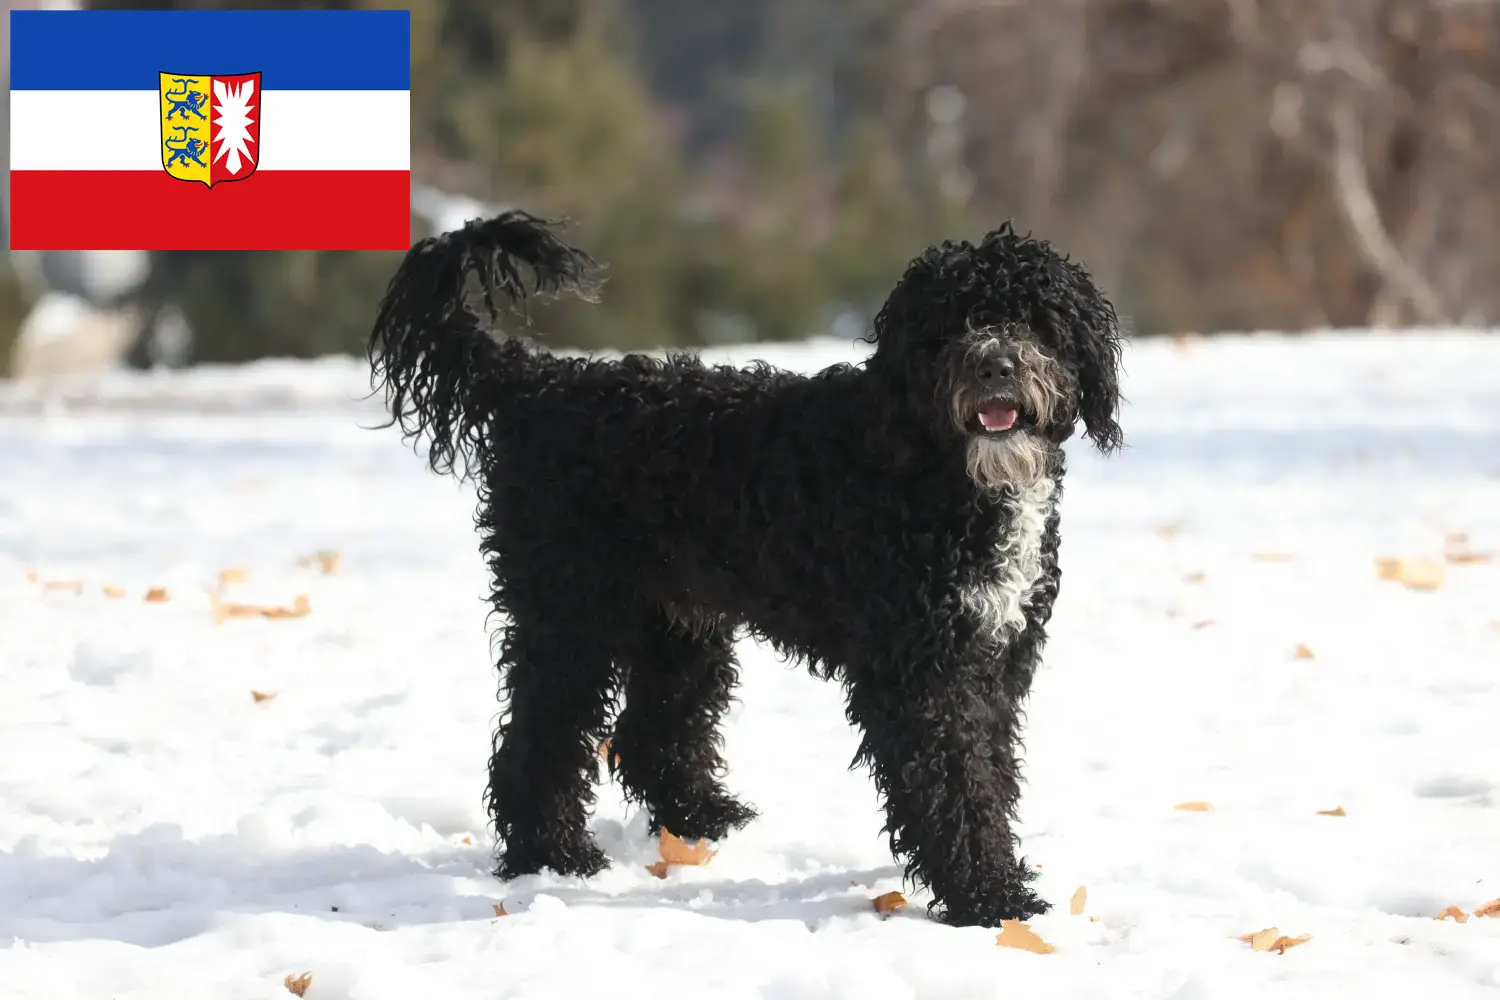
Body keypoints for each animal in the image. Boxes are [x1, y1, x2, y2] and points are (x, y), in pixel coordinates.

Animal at [369, 206, 1128, 929]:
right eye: (950, 323)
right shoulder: (920, 672)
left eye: (1036, 319)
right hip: (570, 612)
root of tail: (538, 382)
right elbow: (955, 785)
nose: (996, 364)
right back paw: (553, 854)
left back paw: (702, 818)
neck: (935, 471)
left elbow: (989, 772)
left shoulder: (995, 656)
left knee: (650, 733)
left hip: (676, 622)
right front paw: (990, 896)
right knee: (540, 738)